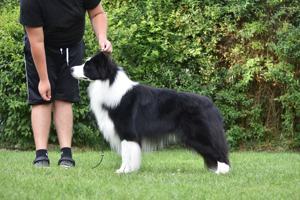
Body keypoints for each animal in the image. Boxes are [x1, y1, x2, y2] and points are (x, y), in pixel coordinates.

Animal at [71, 52, 231, 174]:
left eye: (87, 66)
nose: (71, 68)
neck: (108, 82)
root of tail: (211, 105)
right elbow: (125, 154)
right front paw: (123, 171)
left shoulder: (128, 133)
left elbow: (127, 154)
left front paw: (125, 171)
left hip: (199, 135)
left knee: (218, 152)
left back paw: (222, 172)